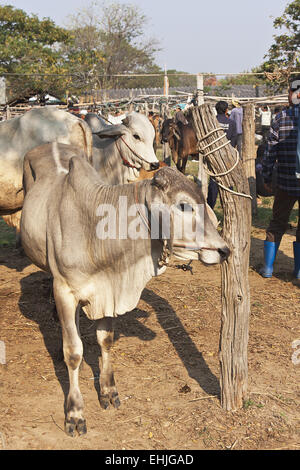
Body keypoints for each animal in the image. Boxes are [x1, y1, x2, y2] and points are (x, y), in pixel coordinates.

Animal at [19, 143, 229, 436]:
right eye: (184, 206)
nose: (225, 250)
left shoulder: (109, 290)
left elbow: (105, 340)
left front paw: (108, 391)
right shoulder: (65, 291)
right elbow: (73, 352)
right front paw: (75, 413)